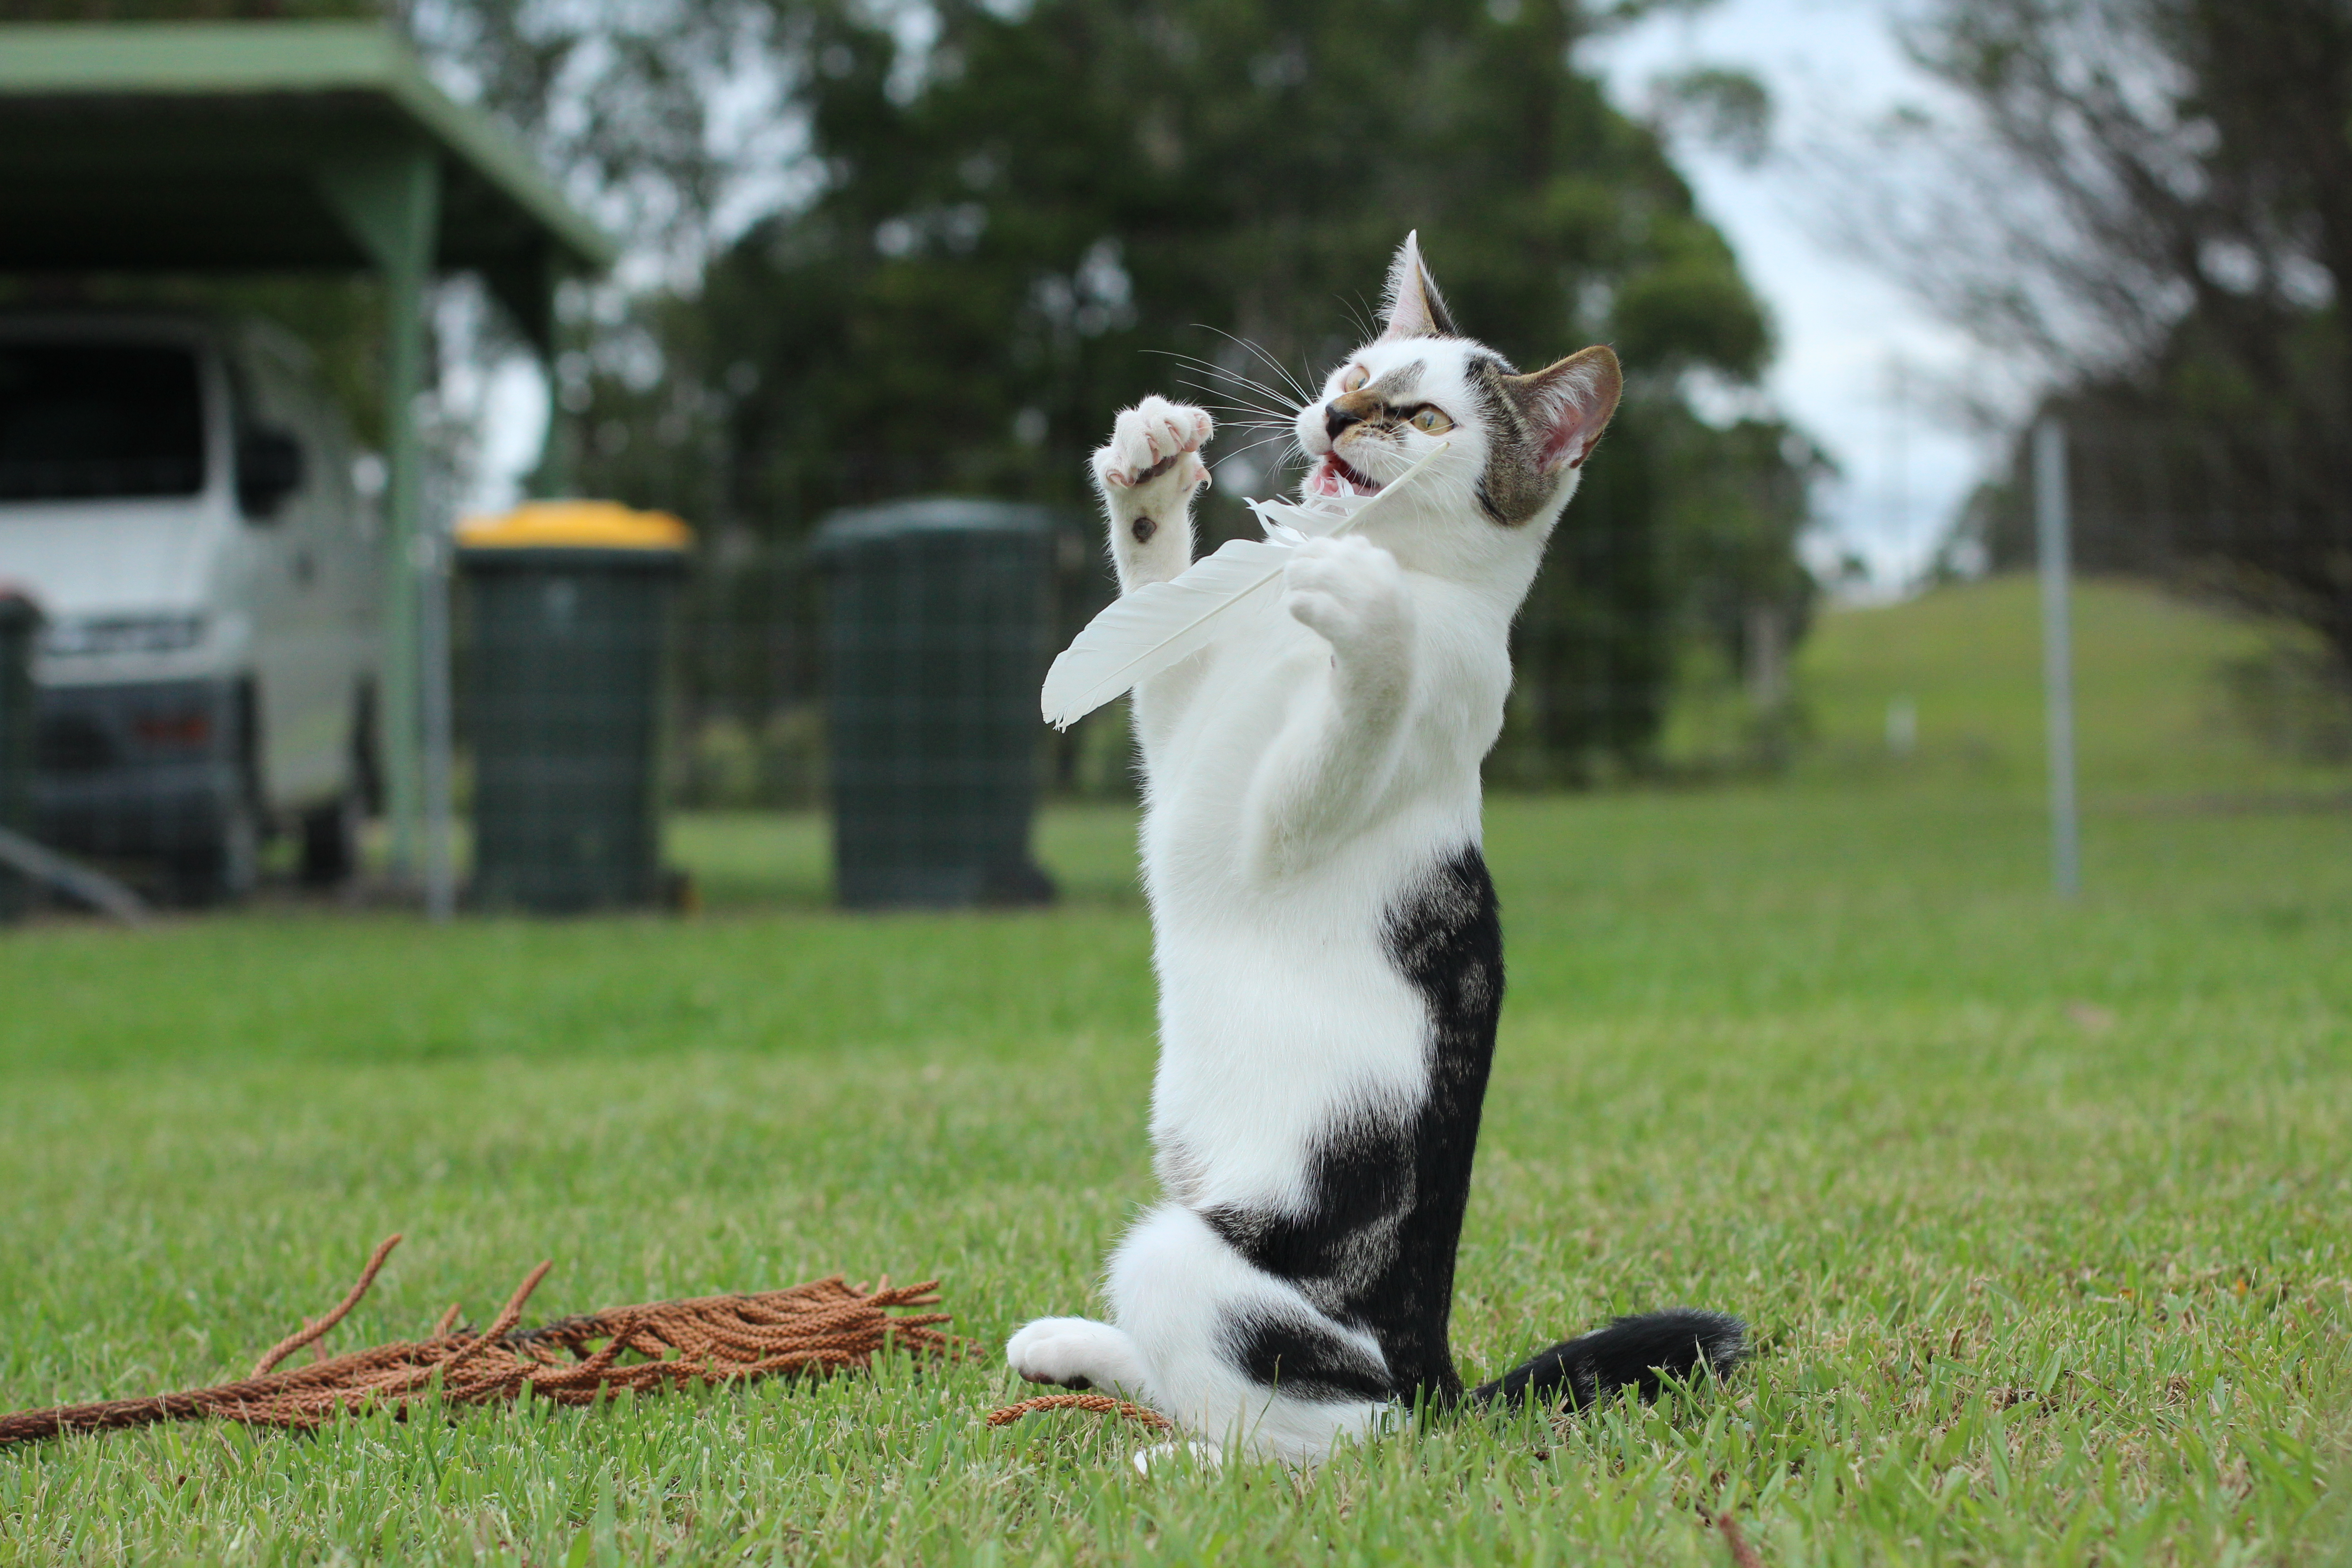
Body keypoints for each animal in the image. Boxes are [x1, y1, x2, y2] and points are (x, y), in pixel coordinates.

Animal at [1006, 236, 1749, 1476]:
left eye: (1426, 417)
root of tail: (1430, 1369)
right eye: (1357, 372)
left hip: (1198, 1265)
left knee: (1329, 1437)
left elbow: (1367, 702)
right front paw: (1151, 472)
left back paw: (1183, 1466)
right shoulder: (1181, 741)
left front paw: (1368, 611)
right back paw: (1079, 1351)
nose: (1339, 416)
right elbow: (1156, 604)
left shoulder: (1290, 817)